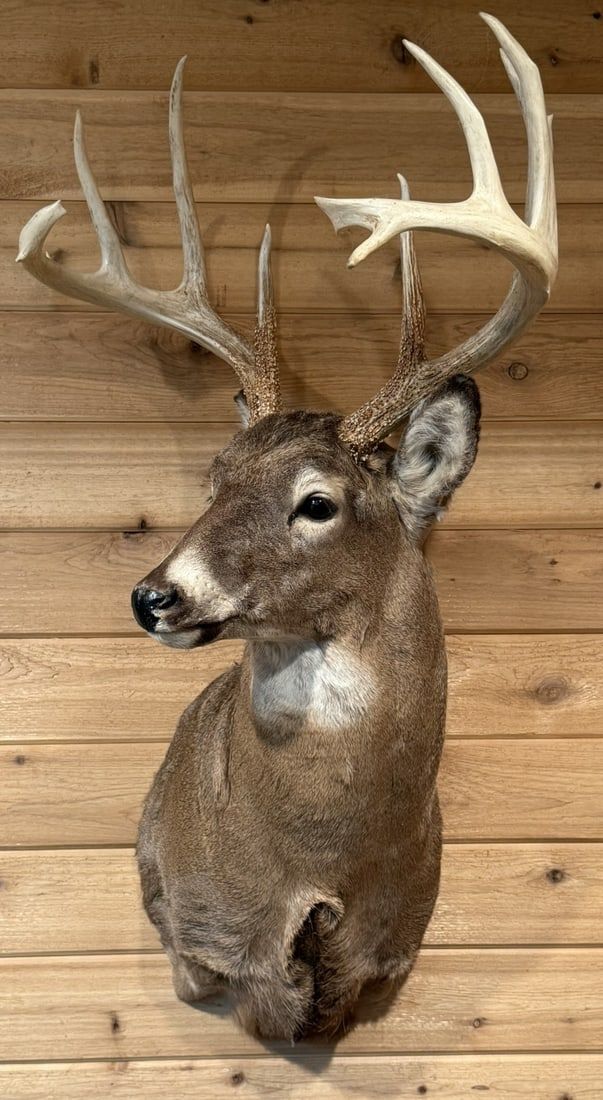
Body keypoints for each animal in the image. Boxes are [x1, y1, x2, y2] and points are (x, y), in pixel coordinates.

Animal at [17, 14, 557, 1041]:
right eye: (213, 476)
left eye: (318, 501)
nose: (155, 595)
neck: (317, 869)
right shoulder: (189, 932)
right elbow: (210, 978)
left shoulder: (395, 954)